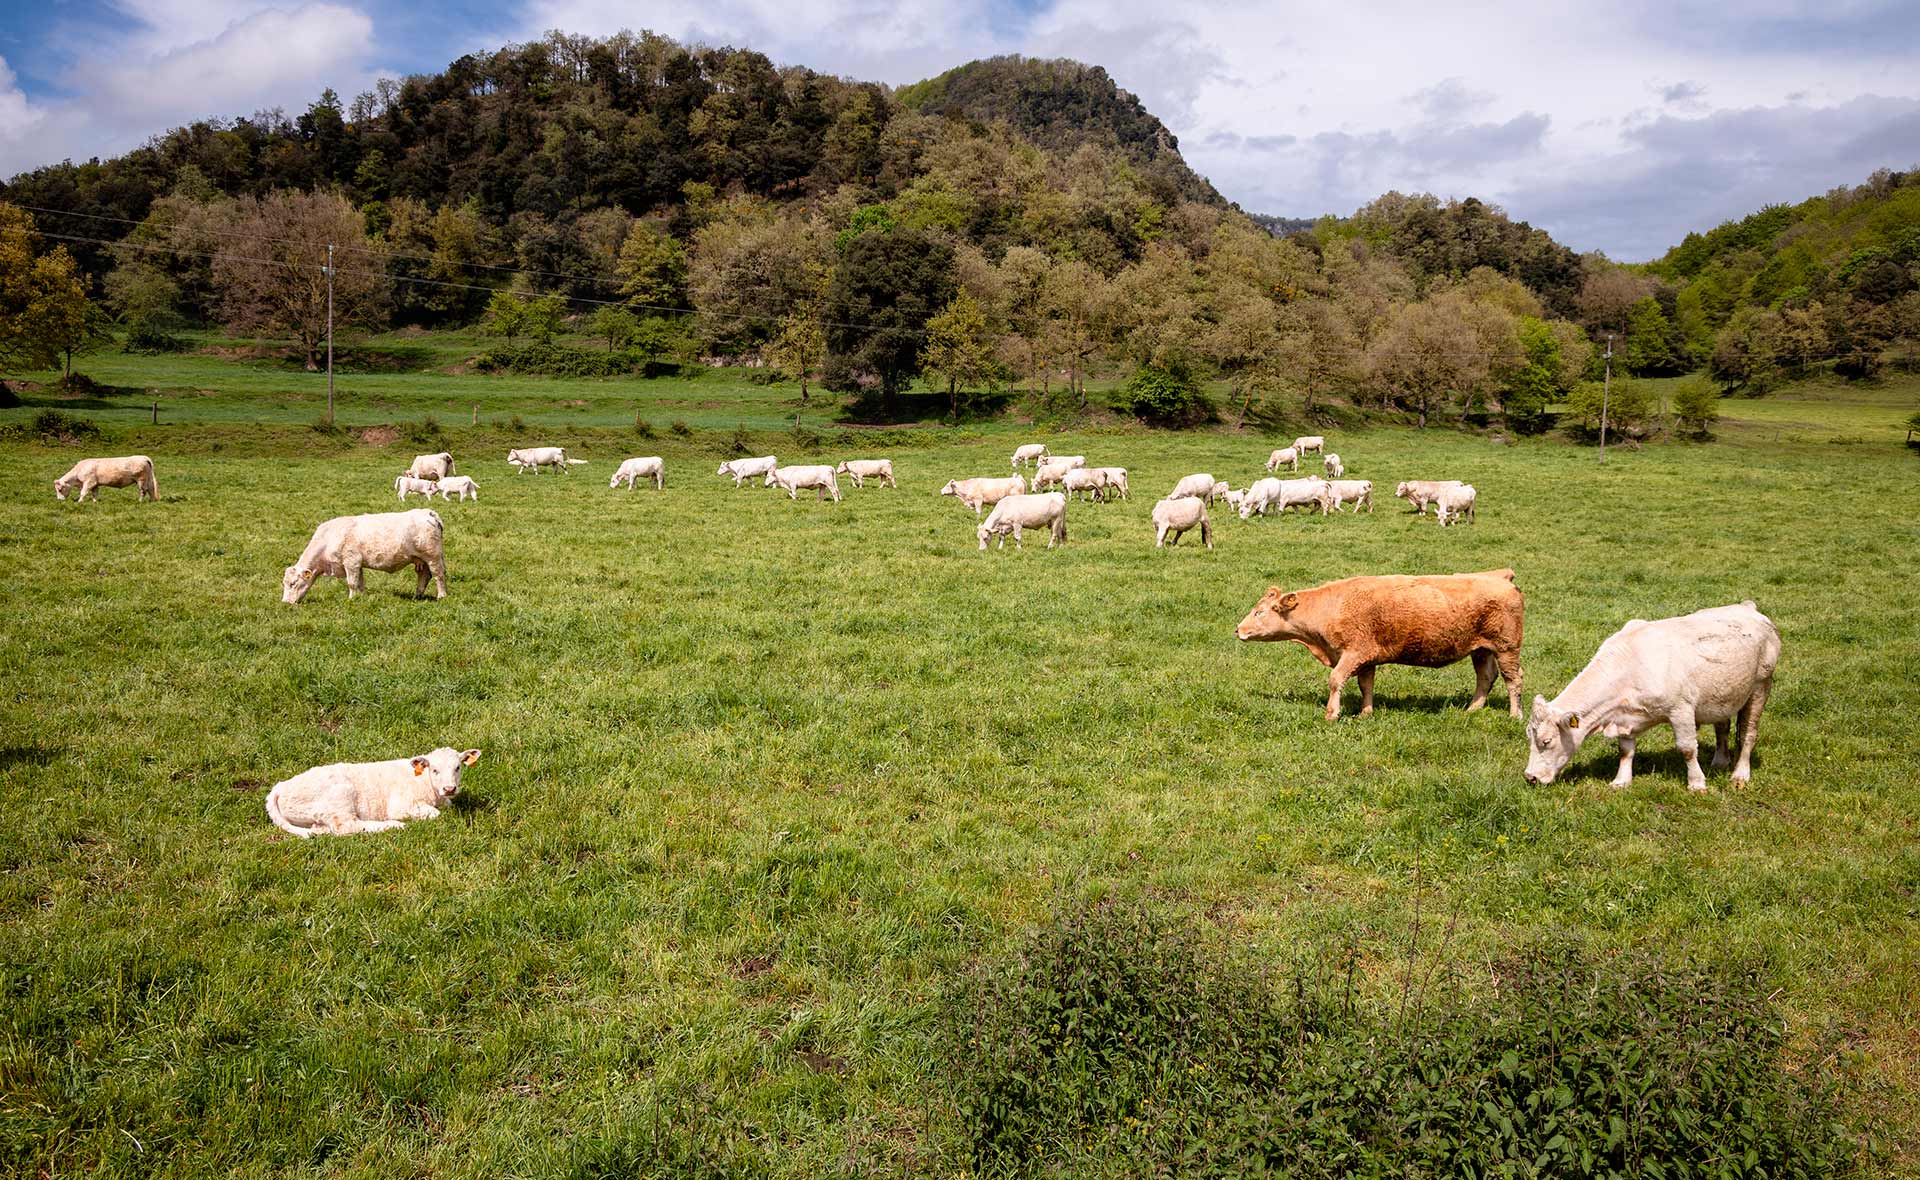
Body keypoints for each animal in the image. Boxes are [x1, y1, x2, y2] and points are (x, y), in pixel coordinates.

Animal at [266, 748, 483, 840]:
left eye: (457, 767)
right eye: (435, 770)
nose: (450, 789)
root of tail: (279, 787)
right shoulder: (401, 805)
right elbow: (435, 814)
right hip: (339, 799)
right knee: (347, 827)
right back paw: (392, 826)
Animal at [280, 506, 445, 606]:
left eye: (293, 583)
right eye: (284, 583)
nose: (285, 602)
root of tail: (428, 512)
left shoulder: (351, 562)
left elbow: (352, 583)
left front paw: (351, 599)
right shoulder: (357, 564)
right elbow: (360, 582)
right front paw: (362, 597)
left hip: (433, 556)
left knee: (439, 575)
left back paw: (441, 596)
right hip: (422, 560)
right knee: (424, 576)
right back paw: (417, 596)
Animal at [1228, 564, 1528, 721]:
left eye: (1259, 612)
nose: (1238, 629)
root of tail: (1499, 575)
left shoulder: (1353, 653)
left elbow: (1336, 680)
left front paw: (1332, 714)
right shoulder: (1366, 658)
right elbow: (1366, 685)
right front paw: (1366, 713)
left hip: (1507, 648)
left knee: (1513, 679)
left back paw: (1515, 715)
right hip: (1482, 650)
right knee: (1486, 677)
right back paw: (1472, 708)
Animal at [1528, 598, 1781, 794]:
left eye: (1546, 741)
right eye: (1529, 737)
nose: (1530, 777)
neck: (1631, 663)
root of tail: (1747, 607)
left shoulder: (1681, 710)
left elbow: (1688, 748)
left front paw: (1696, 784)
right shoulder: (1624, 715)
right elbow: (1626, 750)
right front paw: (1621, 781)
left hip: (1761, 686)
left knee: (1748, 733)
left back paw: (1740, 774)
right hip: (1722, 695)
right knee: (1722, 727)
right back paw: (1720, 761)